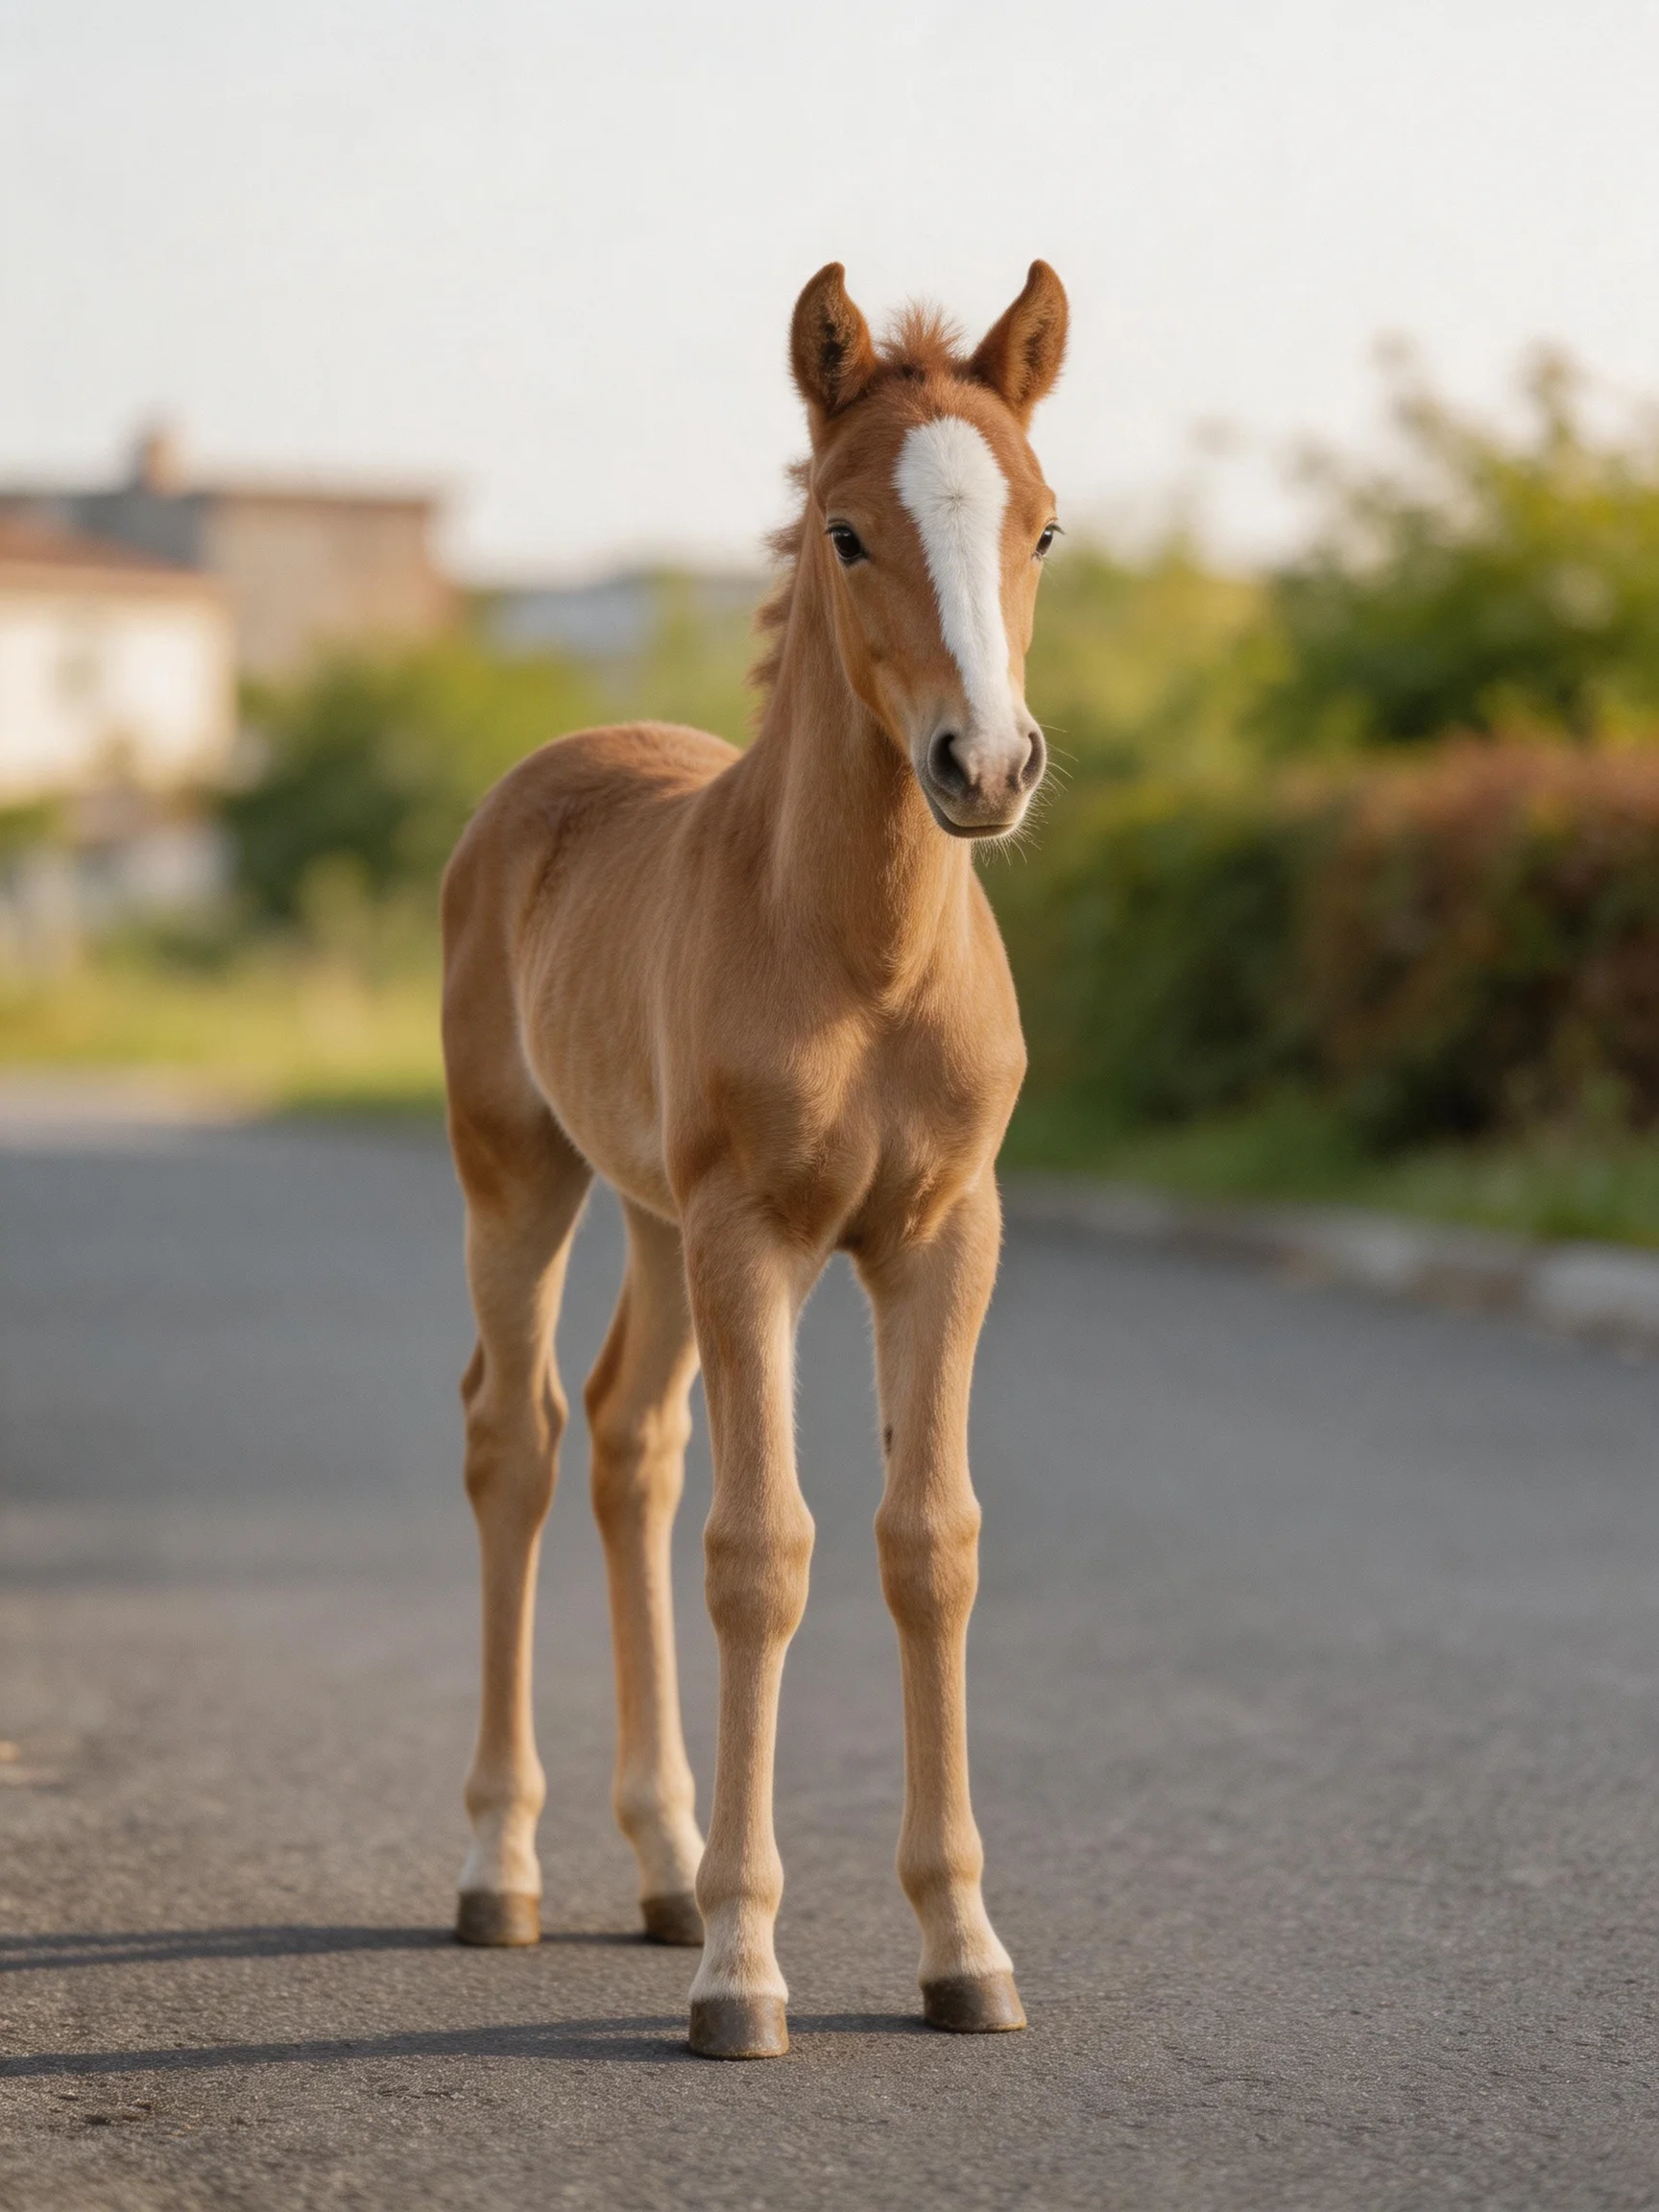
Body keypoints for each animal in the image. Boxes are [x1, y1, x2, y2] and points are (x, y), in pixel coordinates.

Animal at [441, 259, 1067, 2058]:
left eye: (1044, 526)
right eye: (848, 532)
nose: (984, 766)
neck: (861, 954)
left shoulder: (944, 1231)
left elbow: (929, 1543)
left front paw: (964, 1950)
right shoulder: (754, 1237)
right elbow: (762, 1552)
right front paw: (743, 1968)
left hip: (653, 1216)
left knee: (628, 1442)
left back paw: (656, 1862)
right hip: (521, 1175)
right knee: (515, 1435)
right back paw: (505, 1867)